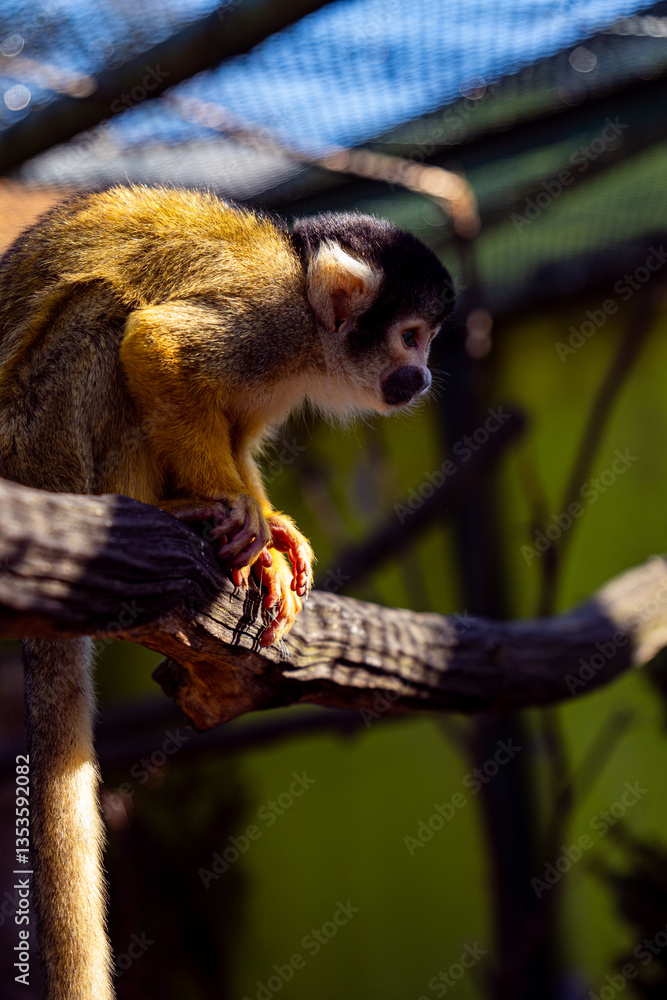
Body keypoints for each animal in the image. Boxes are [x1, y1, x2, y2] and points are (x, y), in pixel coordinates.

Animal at [0, 184, 454, 999]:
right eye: (410, 337)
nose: (424, 376)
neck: (308, 316)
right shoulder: (266, 323)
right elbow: (156, 347)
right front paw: (238, 514)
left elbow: (235, 429)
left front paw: (273, 532)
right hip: (35, 446)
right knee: (105, 310)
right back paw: (157, 506)